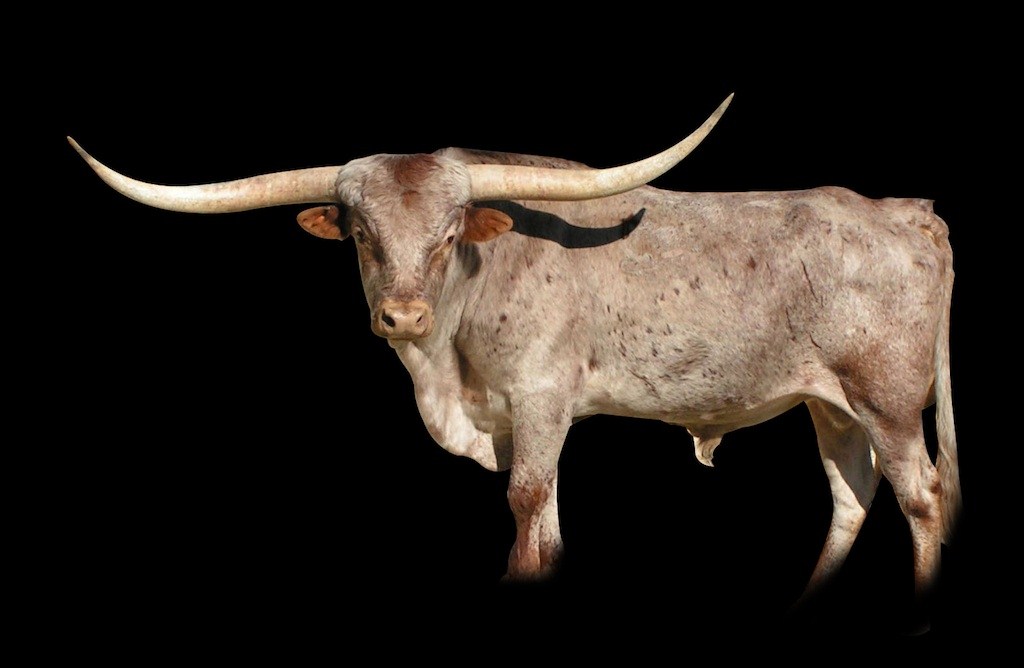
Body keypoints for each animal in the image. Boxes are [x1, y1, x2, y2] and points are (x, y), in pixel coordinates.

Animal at [68, 93, 960, 609]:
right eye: (361, 235)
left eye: (449, 233)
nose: (401, 314)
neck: (446, 374)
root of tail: (906, 212)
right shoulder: (521, 415)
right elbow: (550, 521)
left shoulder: (539, 400)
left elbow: (528, 505)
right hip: (829, 404)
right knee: (851, 498)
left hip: (888, 401)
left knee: (920, 498)